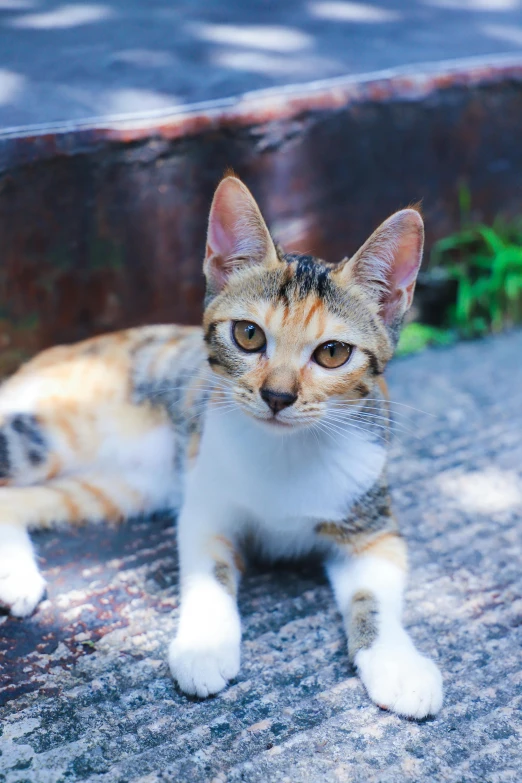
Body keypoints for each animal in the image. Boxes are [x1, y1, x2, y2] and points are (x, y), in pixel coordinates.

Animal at [0, 175, 440, 720]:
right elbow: (208, 573)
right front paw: (205, 647)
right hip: (45, 431)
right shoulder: (206, 505)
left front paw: (398, 664)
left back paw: (15, 575)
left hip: (122, 484)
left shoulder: (372, 526)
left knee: (13, 499)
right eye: (248, 334)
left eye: (333, 353)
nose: (278, 396)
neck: (286, 453)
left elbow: (376, 598)